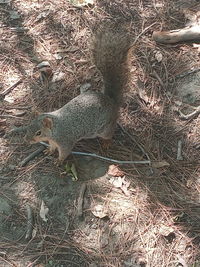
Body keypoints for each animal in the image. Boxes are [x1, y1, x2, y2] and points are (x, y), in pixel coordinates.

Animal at [24, 23, 132, 164]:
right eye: (29, 126)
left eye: (38, 133)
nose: (26, 140)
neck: (56, 128)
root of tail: (111, 101)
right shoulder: (53, 141)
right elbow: (52, 147)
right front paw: (49, 151)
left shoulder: (65, 141)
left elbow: (64, 152)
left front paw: (59, 161)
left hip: (105, 127)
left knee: (110, 133)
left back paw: (106, 143)